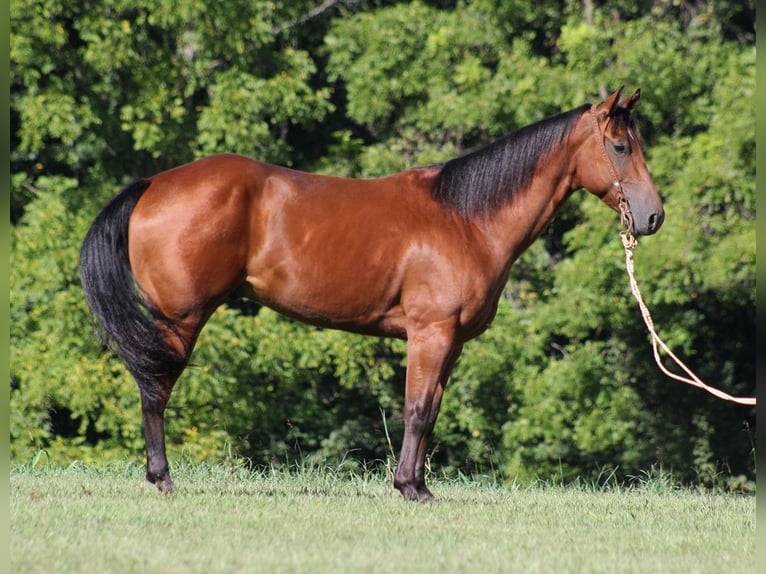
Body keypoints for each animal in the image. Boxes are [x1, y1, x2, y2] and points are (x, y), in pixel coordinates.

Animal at [79, 86, 664, 504]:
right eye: (620, 146)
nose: (654, 216)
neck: (466, 219)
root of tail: (154, 184)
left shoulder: (451, 342)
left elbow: (431, 409)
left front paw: (418, 483)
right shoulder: (430, 333)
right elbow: (418, 410)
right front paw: (409, 489)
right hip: (179, 319)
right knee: (155, 390)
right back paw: (163, 479)